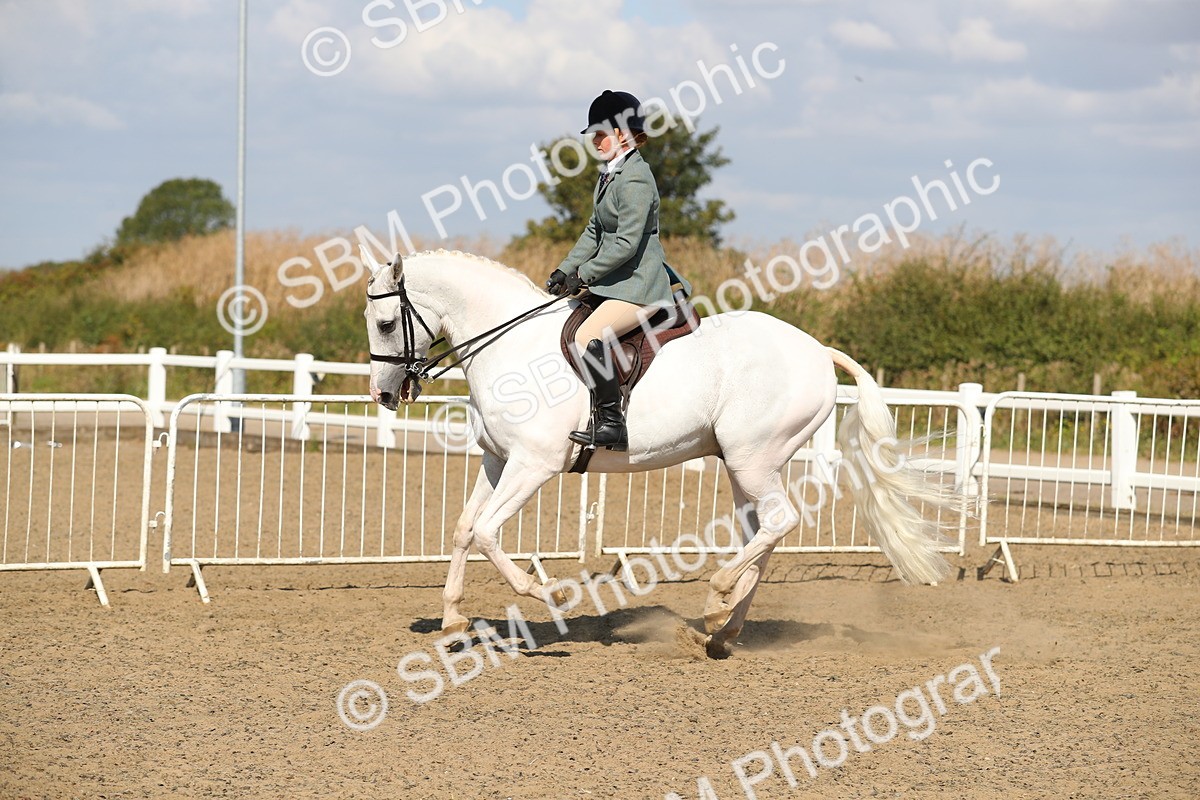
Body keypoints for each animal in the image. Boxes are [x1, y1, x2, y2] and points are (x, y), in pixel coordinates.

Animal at [362, 248, 958, 658]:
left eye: (387, 323)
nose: (384, 395)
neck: (510, 348)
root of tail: (816, 349)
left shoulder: (533, 465)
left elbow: (488, 532)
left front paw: (548, 596)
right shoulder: (497, 461)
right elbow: (465, 530)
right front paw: (452, 624)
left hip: (753, 458)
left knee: (780, 521)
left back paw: (717, 600)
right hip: (746, 465)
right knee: (764, 533)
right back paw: (721, 630)